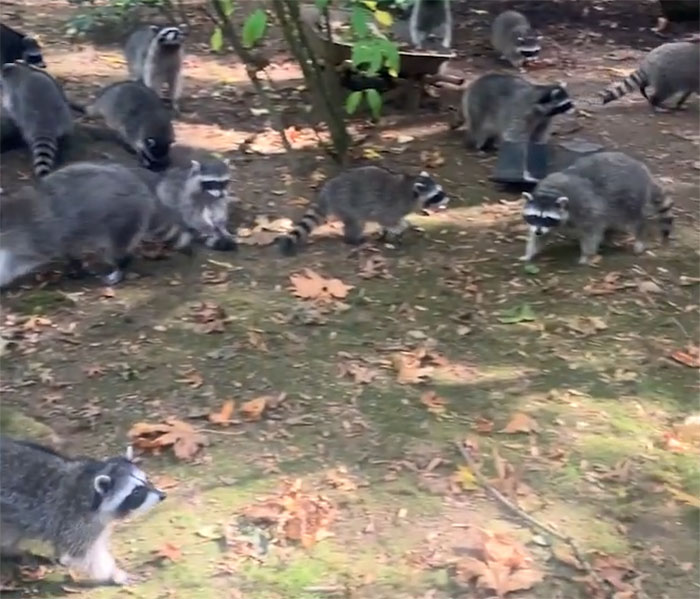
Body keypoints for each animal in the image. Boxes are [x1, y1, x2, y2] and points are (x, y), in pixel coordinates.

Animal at [0, 162, 157, 287]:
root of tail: (140, 188)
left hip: (120, 222)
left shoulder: (36, 235)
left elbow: (26, 257)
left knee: (114, 251)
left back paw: (120, 268)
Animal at [0, 437, 165, 585]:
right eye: (136, 492)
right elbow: (79, 554)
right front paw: (115, 574)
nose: (162, 496)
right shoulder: (74, 520)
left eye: (146, 480)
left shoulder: (96, 522)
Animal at [277, 166, 448, 255]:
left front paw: (392, 230)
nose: (447, 200)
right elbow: (386, 219)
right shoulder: (391, 206)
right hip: (346, 203)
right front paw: (399, 227)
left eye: (440, 192)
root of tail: (327, 191)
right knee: (356, 223)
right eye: (437, 196)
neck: (410, 187)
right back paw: (354, 239)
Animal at [520, 151, 672, 264]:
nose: (538, 232)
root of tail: (644, 171)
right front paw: (530, 252)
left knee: (634, 220)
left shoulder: (585, 207)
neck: (550, 192)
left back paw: (640, 237)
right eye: (534, 216)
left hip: (629, 198)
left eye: (547, 218)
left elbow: (592, 232)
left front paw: (587, 254)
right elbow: (541, 237)